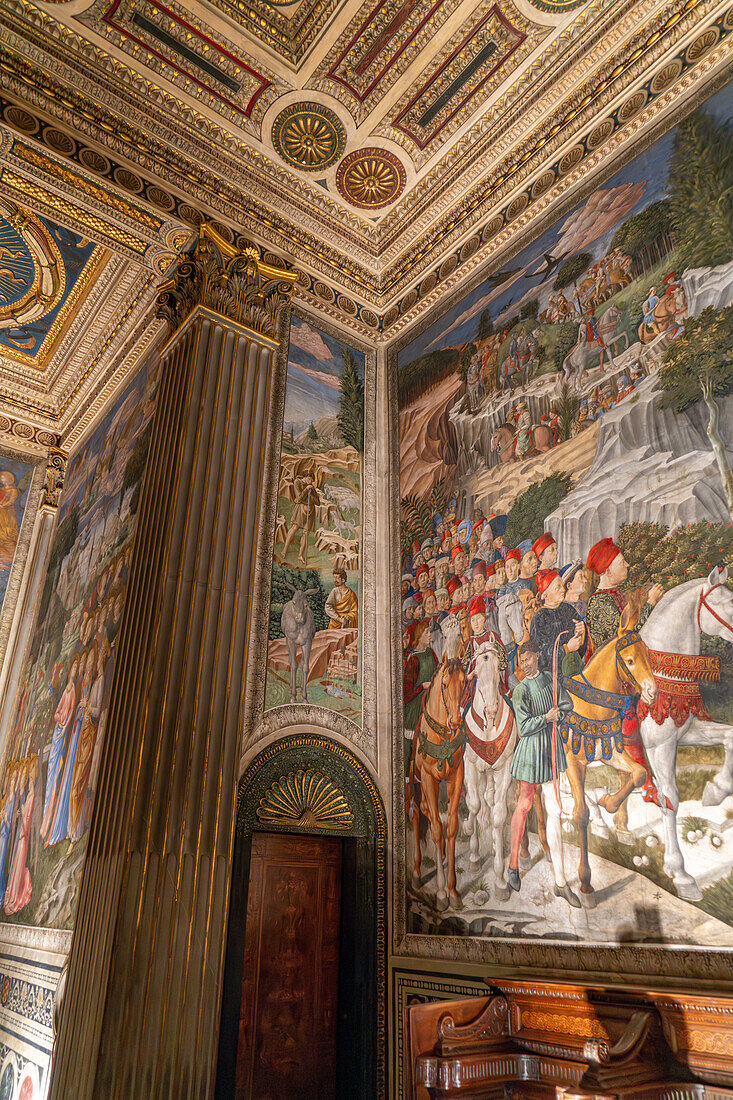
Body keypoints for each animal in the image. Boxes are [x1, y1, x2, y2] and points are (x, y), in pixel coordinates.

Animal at [559, 602, 655, 902]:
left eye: (647, 655)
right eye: (629, 660)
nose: (652, 692)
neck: (591, 704)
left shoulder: (610, 754)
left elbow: (638, 773)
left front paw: (608, 803)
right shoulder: (573, 762)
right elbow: (581, 815)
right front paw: (585, 881)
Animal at [638, 567, 730, 902]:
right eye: (728, 602)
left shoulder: (688, 732)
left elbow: (729, 737)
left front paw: (716, 790)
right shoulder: (659, 747)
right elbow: (670, 800)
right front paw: (680, 874)